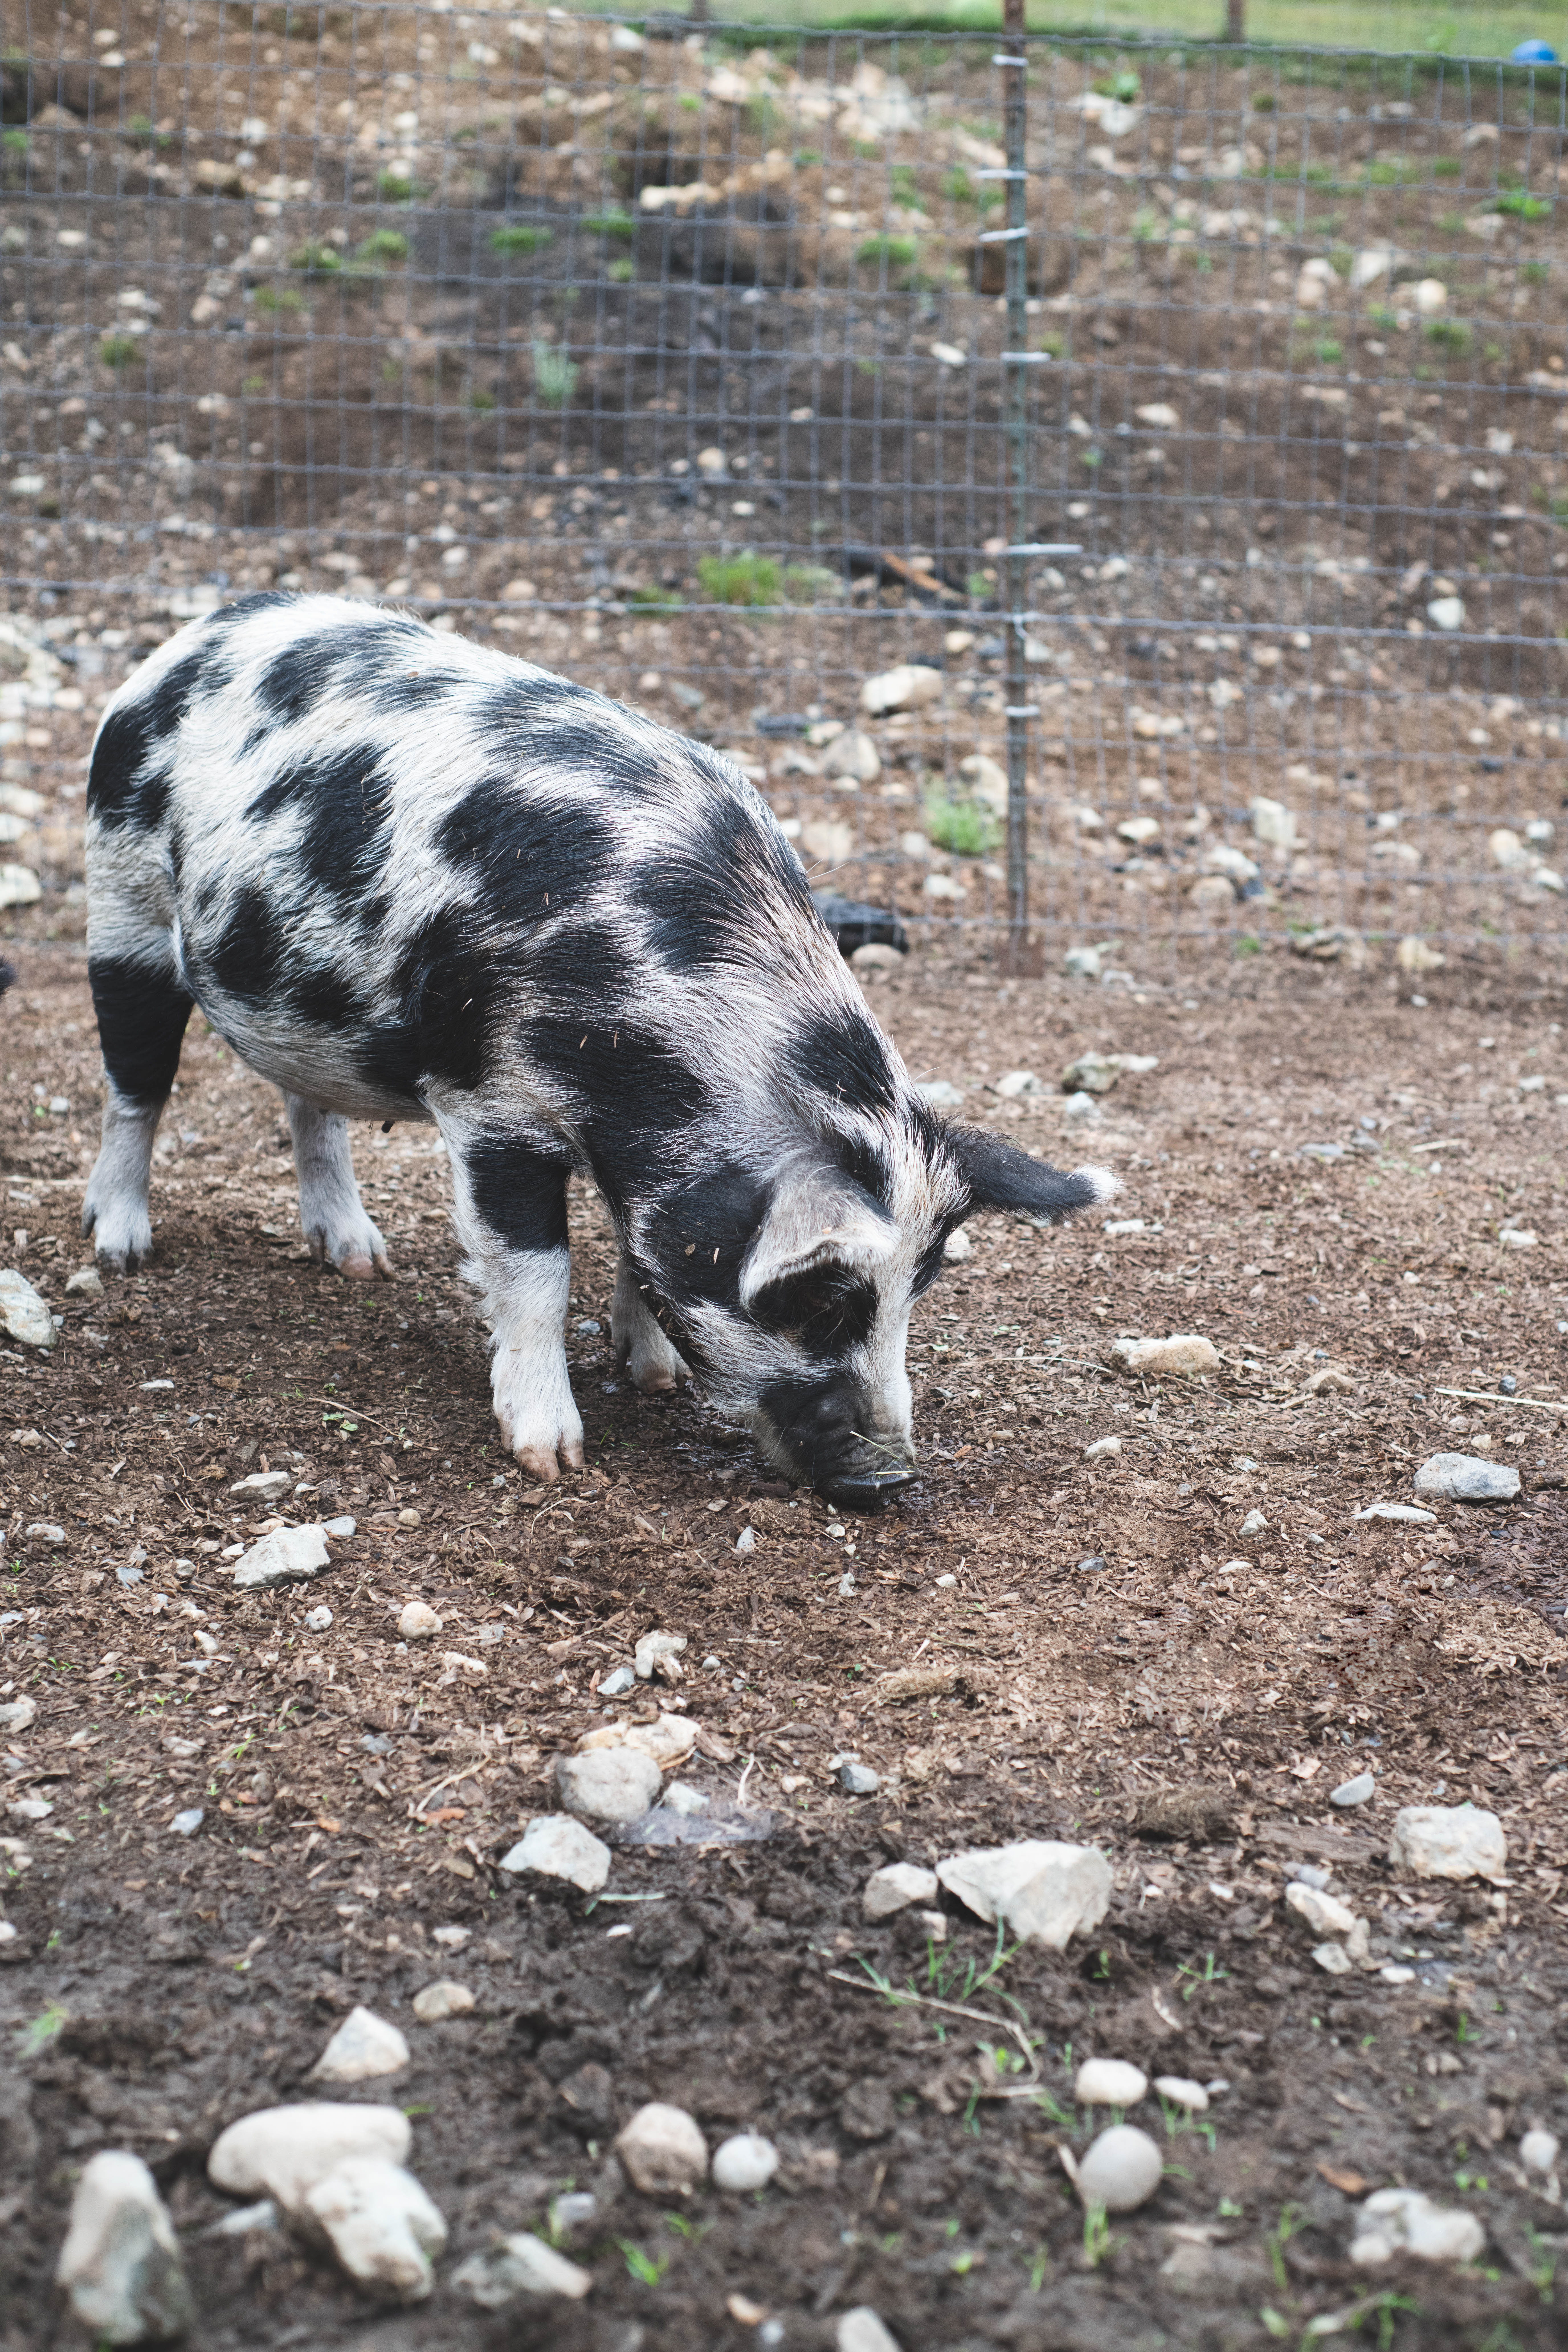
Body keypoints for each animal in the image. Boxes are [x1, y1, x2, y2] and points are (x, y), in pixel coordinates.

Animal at [82, 594, 1113, 1505]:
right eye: (820, 1301)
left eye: (915, 1292)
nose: (892, 1477)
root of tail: (198, 634)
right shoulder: (490, 1105)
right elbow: (536, 1271)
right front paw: (554, 1457)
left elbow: (637, 1248)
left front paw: (653, 1376)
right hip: (122, 904)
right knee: (135, 1088)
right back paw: (121, 1248)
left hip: (302, 1000)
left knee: (308, 1105)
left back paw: (360, 1260)